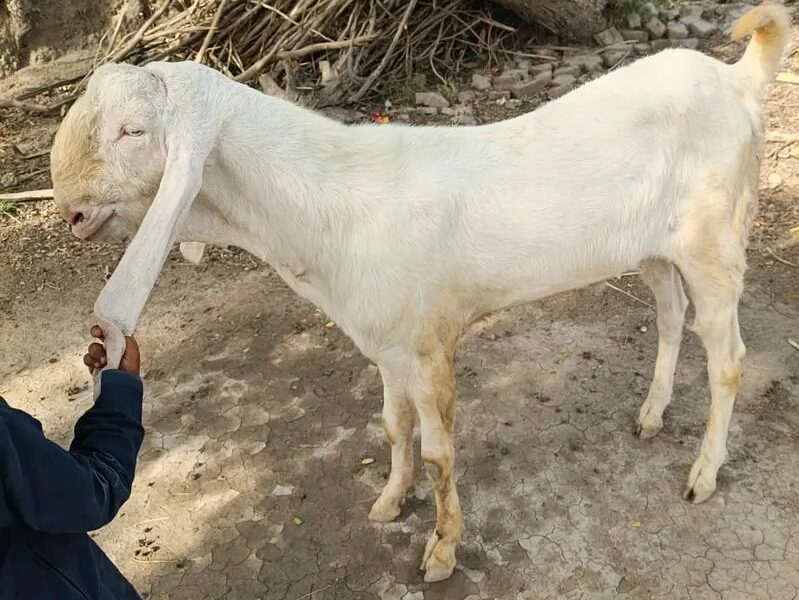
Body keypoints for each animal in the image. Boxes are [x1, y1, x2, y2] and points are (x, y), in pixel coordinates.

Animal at [49, 4, 790, 581]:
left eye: (132, 130)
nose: (71, 213)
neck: (329, 204)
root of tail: (734, 78)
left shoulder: (430, 343)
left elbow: (438, 451)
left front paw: (441, 550)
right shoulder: (386, 343)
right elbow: (392, 425)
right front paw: (388, 501)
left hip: (714, 241)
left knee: (727, 359)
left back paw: (702, 473)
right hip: (653, 250)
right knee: (668, 317)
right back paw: (650, 415)